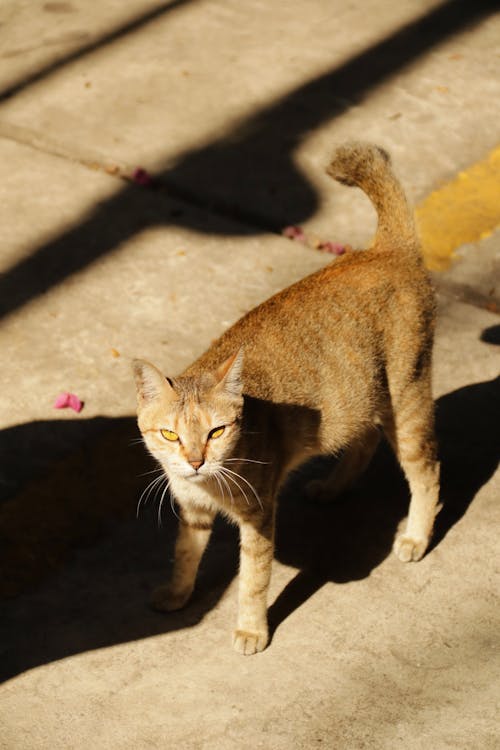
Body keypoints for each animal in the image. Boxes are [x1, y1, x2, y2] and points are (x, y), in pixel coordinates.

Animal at [132, 142, 438, 656]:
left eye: (216, 431)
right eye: (170, 435)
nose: (194, 462)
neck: (207, 484)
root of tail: (385, 248)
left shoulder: (258, 517)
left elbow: (252, 582)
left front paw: (251, 629)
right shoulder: (193, 514)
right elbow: (184, 557)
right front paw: (177, 595)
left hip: (408, 399)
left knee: (426, 472)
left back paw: (416, 536)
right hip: (360, 401)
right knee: (363, 440)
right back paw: (333, 487)